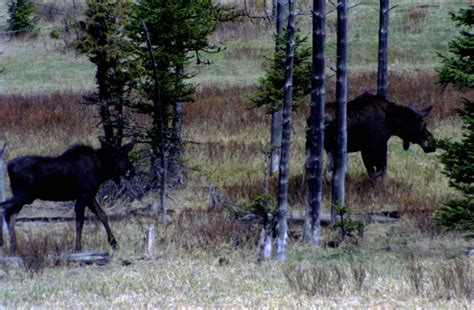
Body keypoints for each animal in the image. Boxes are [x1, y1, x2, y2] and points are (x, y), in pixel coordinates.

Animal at [0, 140, 137, 252]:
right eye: (117, 156)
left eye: (126, 155)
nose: (131, 171)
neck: (100, 169)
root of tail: (9, 166)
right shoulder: (83, 195)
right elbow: (80, 221)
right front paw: (78, 248)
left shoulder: (90, 195)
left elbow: (102, 215)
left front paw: (114, 243)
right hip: (24, 196)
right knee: (5, 210)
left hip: (23, 197)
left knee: (10, 215)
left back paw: (14, 247)